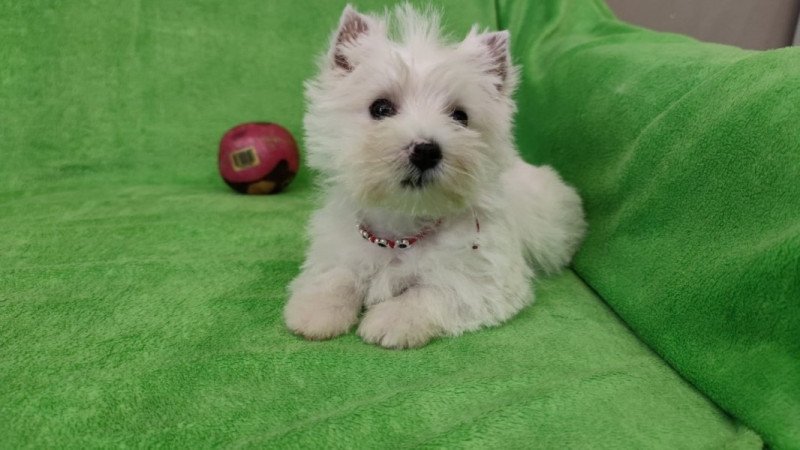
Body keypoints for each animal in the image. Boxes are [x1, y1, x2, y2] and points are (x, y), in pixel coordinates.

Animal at [284, 4, 584, 348]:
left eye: (460, 116)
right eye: (381, 108)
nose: (426, 151)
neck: (401, 228)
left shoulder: (488, 279)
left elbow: (433, 292)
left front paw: (390, 320)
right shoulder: (340, 247)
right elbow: (336, 275)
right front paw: (315, 311)